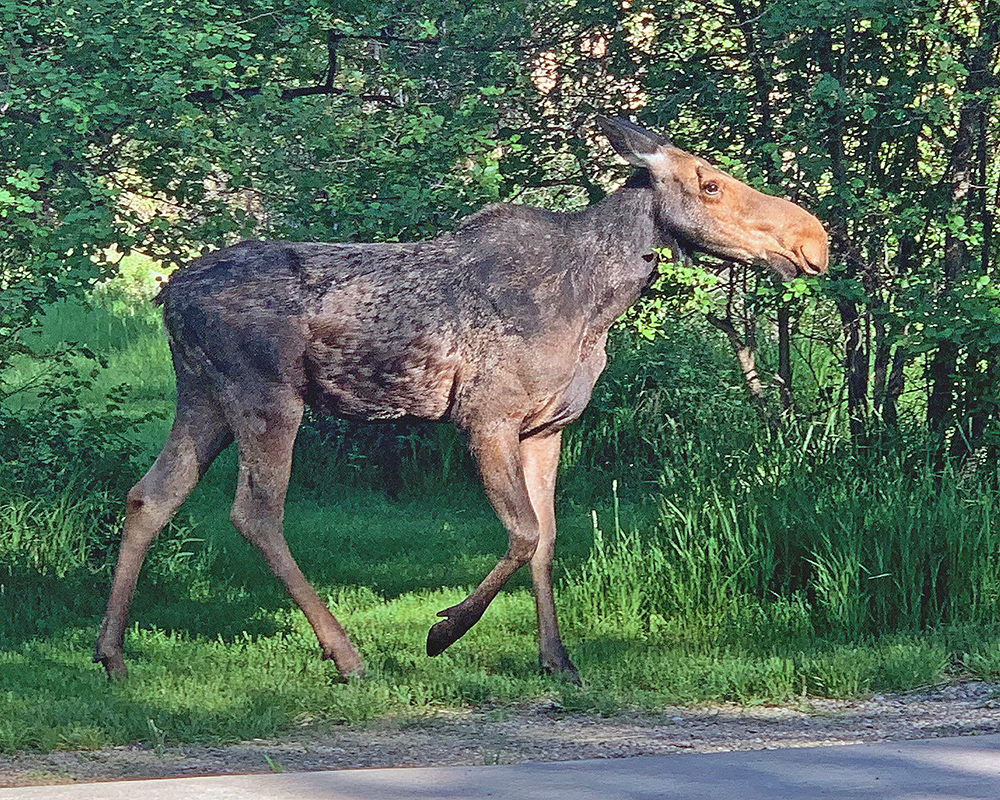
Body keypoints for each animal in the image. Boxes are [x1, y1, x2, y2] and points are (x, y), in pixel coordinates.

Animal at [95, 117, 828, 680]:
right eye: (710, 183)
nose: (814, 240)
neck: (597, 303)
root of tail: (166, 295)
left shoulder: (548, 426)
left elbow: (548, 538)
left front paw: (557, 659)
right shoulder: (486, 417)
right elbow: (523, 532)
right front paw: (444, 630)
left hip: (205, 396)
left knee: (150, 495)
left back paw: (111, 653)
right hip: (267, 394)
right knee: (255, 512)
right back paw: (347, 654)